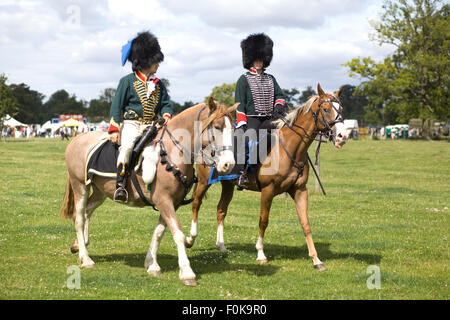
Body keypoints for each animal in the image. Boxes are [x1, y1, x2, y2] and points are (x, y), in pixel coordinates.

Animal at [61, 99, 241, 286]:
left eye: (233, 128)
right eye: (217, 126)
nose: (228, 164)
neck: (172, 152)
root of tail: (77, 139)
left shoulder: (171, 203)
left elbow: (159, 232)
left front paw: (152, 264)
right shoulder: (164, 201)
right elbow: (177, 233)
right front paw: (187, 272)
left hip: (99, 192)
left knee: (86, 212)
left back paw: (78, 245)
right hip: (80, 186)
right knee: (79, 218)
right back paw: (85, 258)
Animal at [185, 84, 350, 270]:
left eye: (340, 109)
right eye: (325, 109)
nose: (342, 136)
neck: (289, 148)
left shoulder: (300, 190)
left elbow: (305, 223)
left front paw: (316, 260)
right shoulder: (267, 190)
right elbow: (263, 221)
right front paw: (261, 254)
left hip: (228, 185)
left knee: (221, 210)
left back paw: (222, 246)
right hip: (204, 182)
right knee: (196, 203)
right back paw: (190, 239)